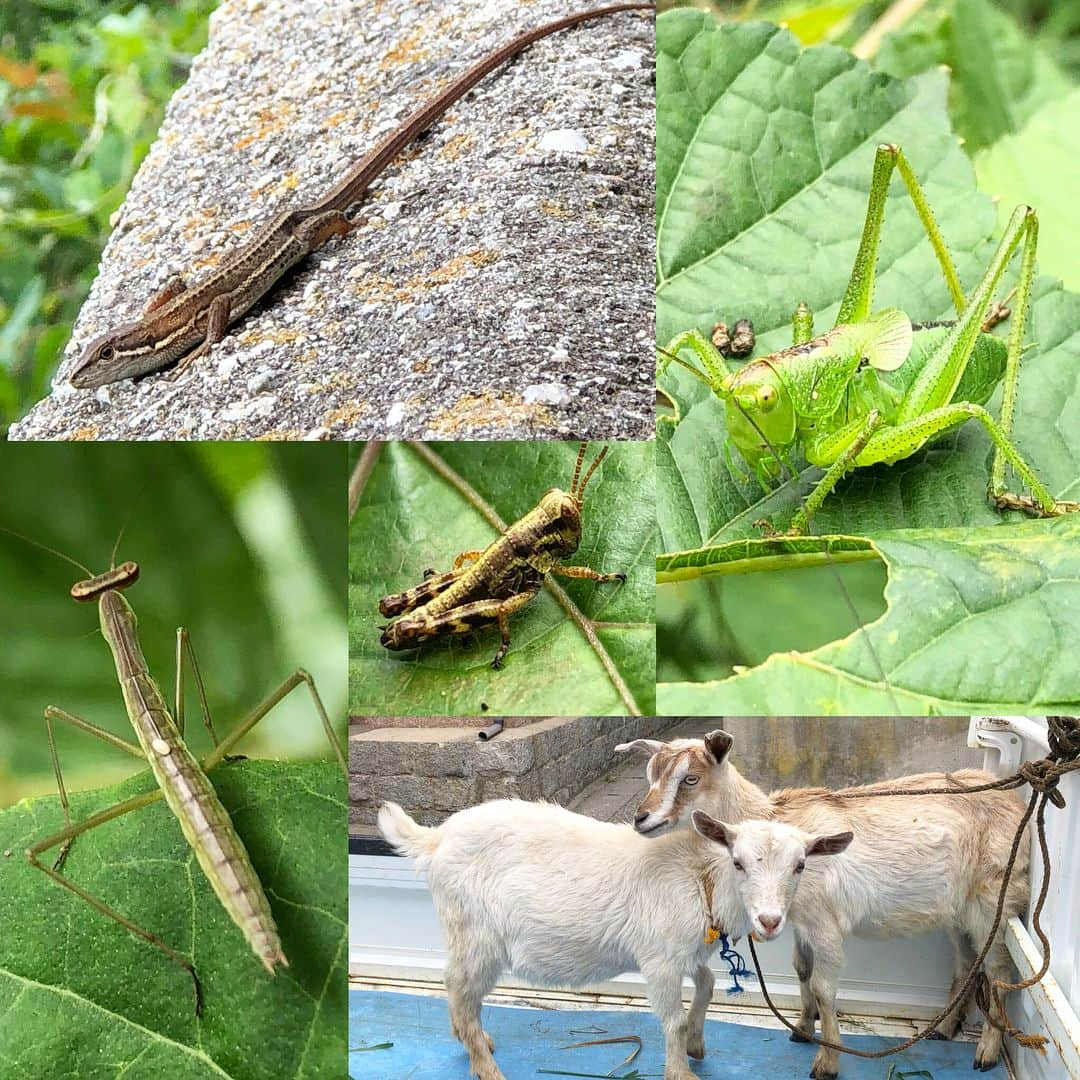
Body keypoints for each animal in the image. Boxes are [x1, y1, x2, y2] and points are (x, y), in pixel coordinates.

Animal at [380, 799, 851, 1075]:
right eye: (738, 862)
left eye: (800, 866)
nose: (770, 921)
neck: (699, 876)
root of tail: (435, 838)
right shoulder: (659, 958)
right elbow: (673, 1019)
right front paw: (680, 1069)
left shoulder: (687, 949)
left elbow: (707, 983)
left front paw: (697, 1044)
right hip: (476, 932)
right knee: (462, 987)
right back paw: (485, 1064)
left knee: (454, 984)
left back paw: (468, 1037)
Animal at [617, 730, 1028, 1075]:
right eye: (651, 775)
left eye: (690, 778)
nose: (641, 818)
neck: (773, 822)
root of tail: (1013, 801)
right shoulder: (800, 920)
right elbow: (802, 969)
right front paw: (801, 1027)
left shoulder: (825, 920)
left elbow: (823, 986)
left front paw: (827, 1062)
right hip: (957, 909)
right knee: (967, 962)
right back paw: (944, 1028)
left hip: (993, 898)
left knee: (998, 969)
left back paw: (986, 1052)